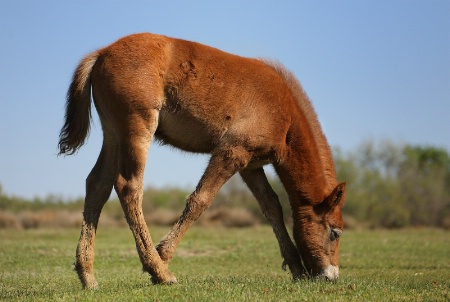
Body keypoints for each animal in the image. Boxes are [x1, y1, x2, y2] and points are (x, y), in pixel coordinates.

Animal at [58, 32, 346, 288]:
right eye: (335, 232)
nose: (331, 276)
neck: (283, 113)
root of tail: (101, 53)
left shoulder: (251, 166)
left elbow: (272, 206)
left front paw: (296, 268)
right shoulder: (231, 152)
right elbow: (200, 200)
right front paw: (162, 256)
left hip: (113, 133)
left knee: (97, 185)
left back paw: (88, 276)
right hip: (137, 128)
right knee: (129, 187)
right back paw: (159, 271)